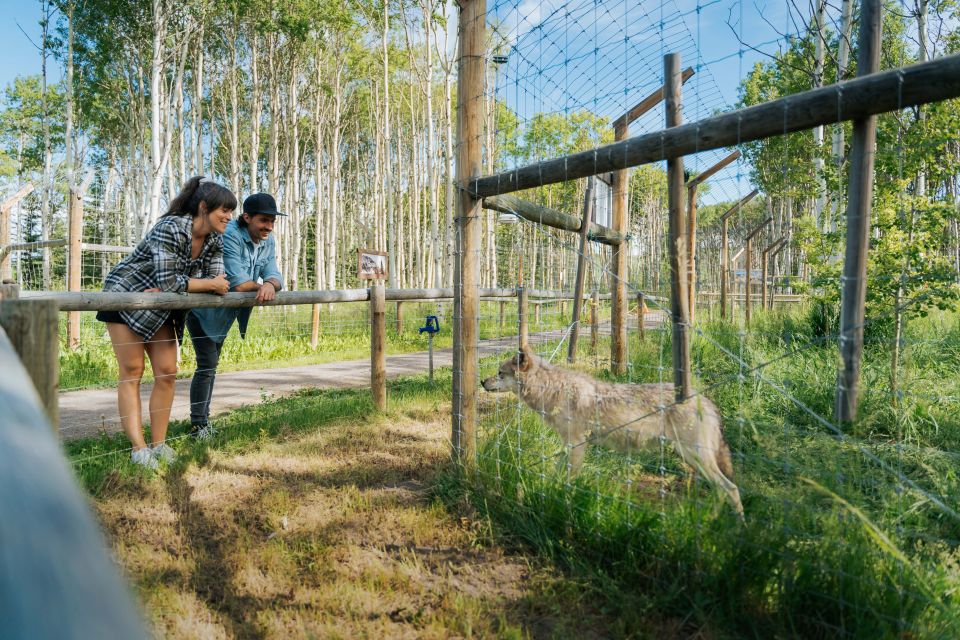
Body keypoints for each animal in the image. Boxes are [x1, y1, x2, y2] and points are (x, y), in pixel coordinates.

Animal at [484, 344, 748, 520]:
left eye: (500, 373)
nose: (482, 382)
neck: (552, 390)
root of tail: (707, 401)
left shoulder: (578, 446)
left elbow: (568, 483)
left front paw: (563, 504)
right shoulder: (568, 446)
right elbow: (554, 475)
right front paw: (546, 494)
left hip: (695, 457)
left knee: (731, 489)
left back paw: (738, 529)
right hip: (692, 459)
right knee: (721, 491)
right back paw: (712, 522)